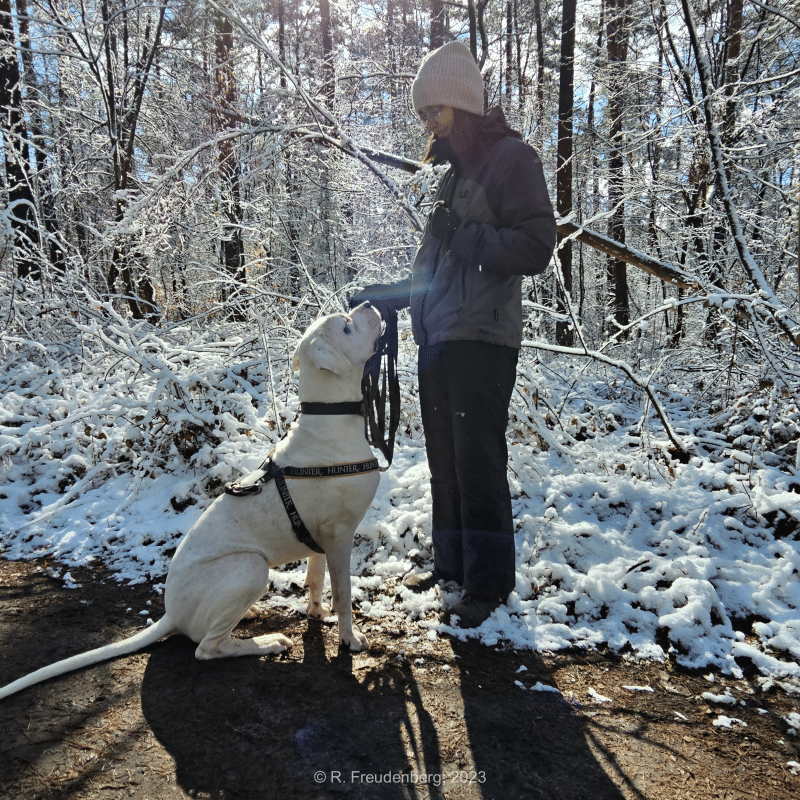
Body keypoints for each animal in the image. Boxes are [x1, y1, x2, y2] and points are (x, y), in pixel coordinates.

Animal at [0, 304, 382, 704]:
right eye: (346, 327)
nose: (369, 305)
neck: (330, 417)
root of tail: (170, 613)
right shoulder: (340, 537)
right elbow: (343, 593)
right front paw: (350, 638)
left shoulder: (320, 539)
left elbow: (315, 580)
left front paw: (316, 613)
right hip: (249, 567)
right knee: (207, 648)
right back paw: (265, 642)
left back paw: (249, 617)